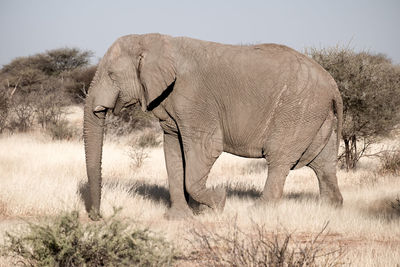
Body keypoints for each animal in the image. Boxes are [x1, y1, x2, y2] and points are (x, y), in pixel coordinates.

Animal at [82, 33, 344, 221]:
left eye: (111, 74)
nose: (98, 217)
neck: (153, 41)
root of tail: (333, 85)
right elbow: (173, 153)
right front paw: (178, 218)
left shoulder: (194, 98)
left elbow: (207, 148)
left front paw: (218, 201)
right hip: (316, 115)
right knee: (323, 163)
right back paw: (330, 209)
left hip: (298, 110)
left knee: (279, 159)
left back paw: (257, 212)